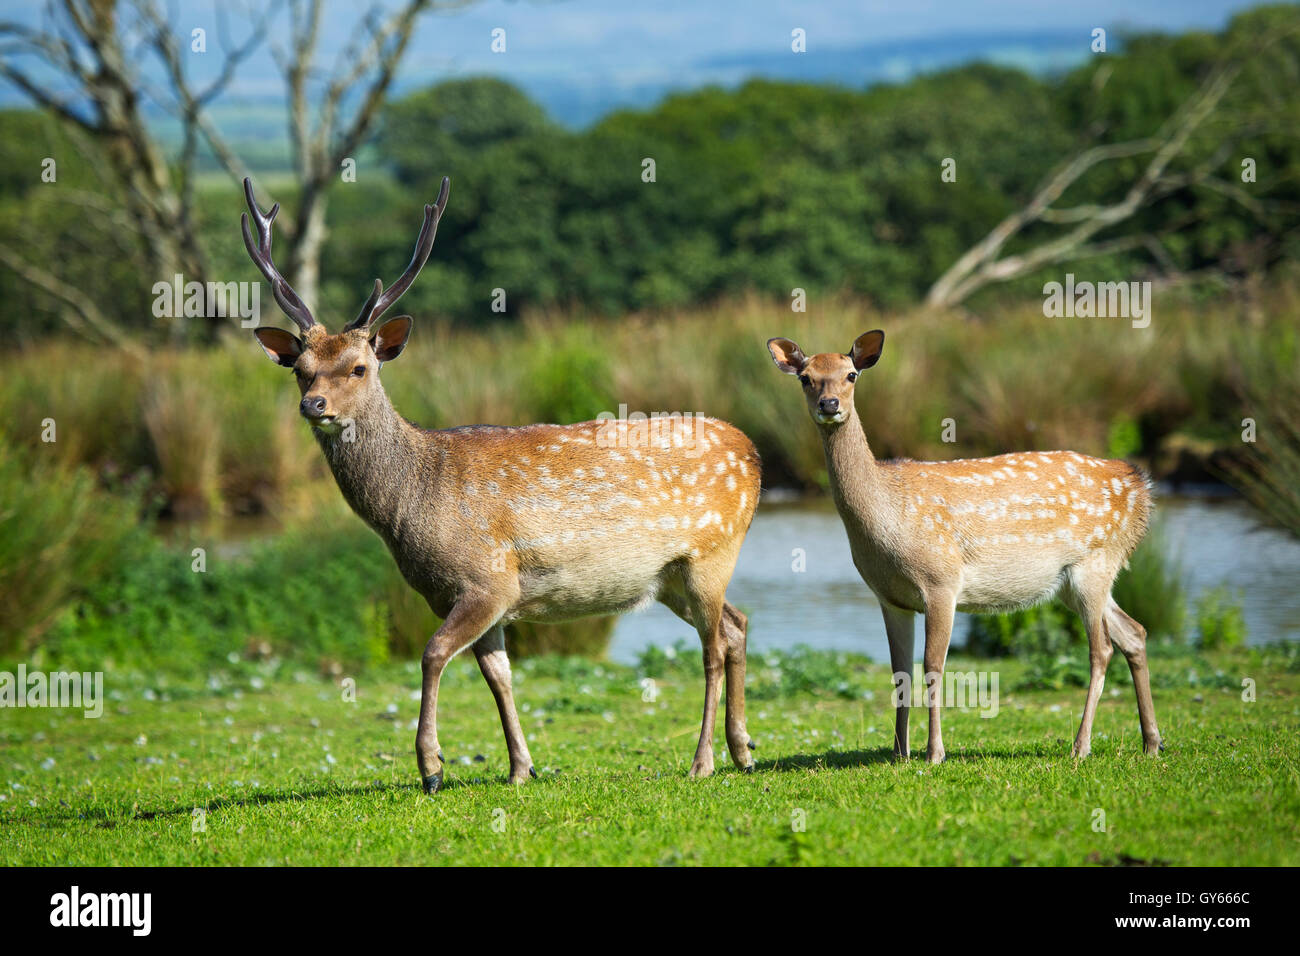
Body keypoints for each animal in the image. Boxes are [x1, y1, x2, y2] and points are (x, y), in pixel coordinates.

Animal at [241, 179, 759, 790]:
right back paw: (743, 750)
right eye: (301, 370)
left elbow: (433, 653)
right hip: (671, 577)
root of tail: (753, 453)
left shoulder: (488, 579)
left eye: (358, 368)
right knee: (736, 626)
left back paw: (703, 761)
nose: (313, 405)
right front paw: (520, 768)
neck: (413, 507)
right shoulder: (468, 597)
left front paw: (432, 767)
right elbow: (498, 675)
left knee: (712, 647)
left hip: (710, 553)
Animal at [764, 332, 1164, 764]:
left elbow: (932, 666)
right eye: (806, 377)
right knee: (1134, 632)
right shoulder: (889, 597)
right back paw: (1151, 742)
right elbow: (899, 670)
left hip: (1094, 562)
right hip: (1073, 583)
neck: (887, 520)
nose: (830, 404)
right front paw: (899, 751)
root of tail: (1141, 488)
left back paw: (1081, 745)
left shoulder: (941, 580)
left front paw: (934, 752)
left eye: (851, 374)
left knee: (1102, 648)